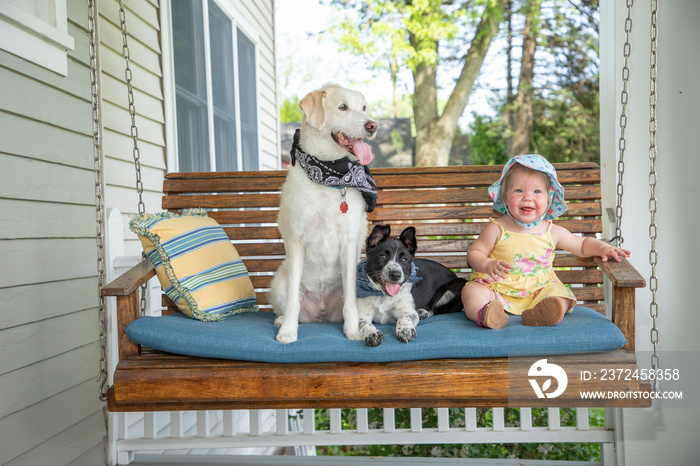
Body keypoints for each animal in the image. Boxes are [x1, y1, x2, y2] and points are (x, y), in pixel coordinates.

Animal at [270, 85, 378, 344]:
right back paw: (282, 320)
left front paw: (352, 330)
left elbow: (349, 301)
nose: (373, 125)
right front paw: (288, 331)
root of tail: (320, 314)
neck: (329, 177)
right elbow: (292, 300)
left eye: (363, 108)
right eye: (342, 107)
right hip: (279, 279)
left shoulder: (349, 242)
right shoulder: (297, 240)